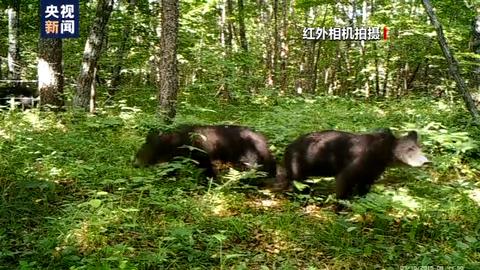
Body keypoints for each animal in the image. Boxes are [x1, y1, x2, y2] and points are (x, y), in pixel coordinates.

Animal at [284, 129, 430, 198]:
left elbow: (364, 187)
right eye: (410, 149)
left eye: (420, 148)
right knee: (299, 183)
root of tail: (288, 147)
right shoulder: (358, 162)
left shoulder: (372, 171)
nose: (426, 161)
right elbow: (344, 181)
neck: (381, 155)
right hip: (299, 162)